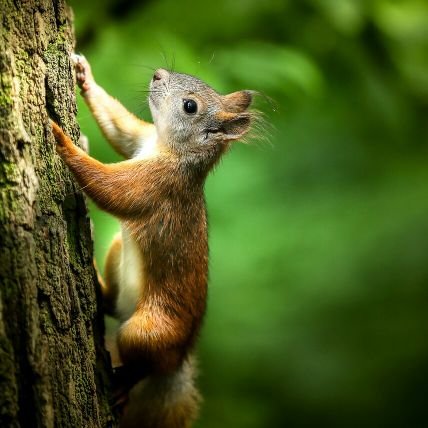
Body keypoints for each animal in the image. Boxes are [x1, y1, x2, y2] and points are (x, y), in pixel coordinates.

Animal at [50, 54, 254, 428]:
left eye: (190, 106)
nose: (157, 74)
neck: (166, 147)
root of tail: (179, 359)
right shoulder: (140, 139)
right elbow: (122, 130)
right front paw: (84, 76)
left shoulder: (157, 185)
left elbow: (108, 187)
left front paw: (61, 140)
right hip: (118, 253)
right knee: (113, 304)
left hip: (148, 332)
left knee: (144, 364)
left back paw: (124, 385)